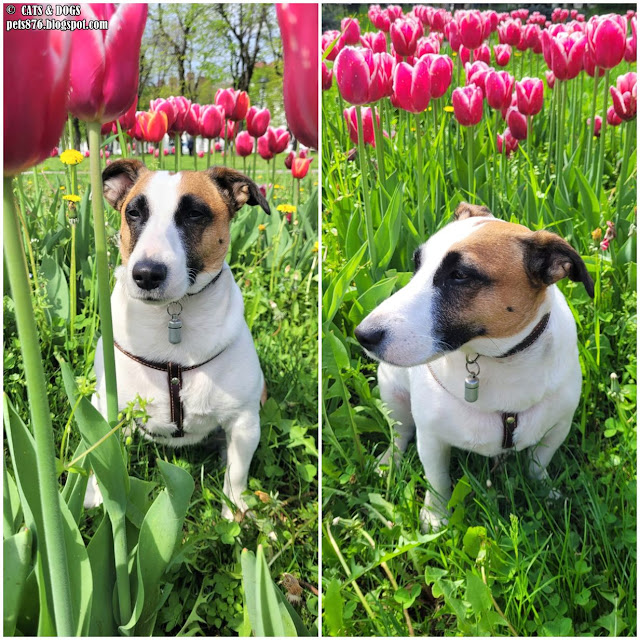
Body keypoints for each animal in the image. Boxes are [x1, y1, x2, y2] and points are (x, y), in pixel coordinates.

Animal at [91, 159, 268, 520]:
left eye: (195, 214)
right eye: (134, 212)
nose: (146, 274)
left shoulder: (245, 422)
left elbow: (237, 474)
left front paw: (235, 511)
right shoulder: (105, 407)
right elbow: (101, 452)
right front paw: (98, 495)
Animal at [356, 204, 596, 528]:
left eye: (459, 275)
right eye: (417, 264)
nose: (363, 334)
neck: (502, 359)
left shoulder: (558, 427)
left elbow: (537, 464)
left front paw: (545, 491)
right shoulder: (431, 438)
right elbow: (438, 480)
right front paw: (436, 517)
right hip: (392, 392)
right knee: (399, 433)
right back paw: (387, 464)